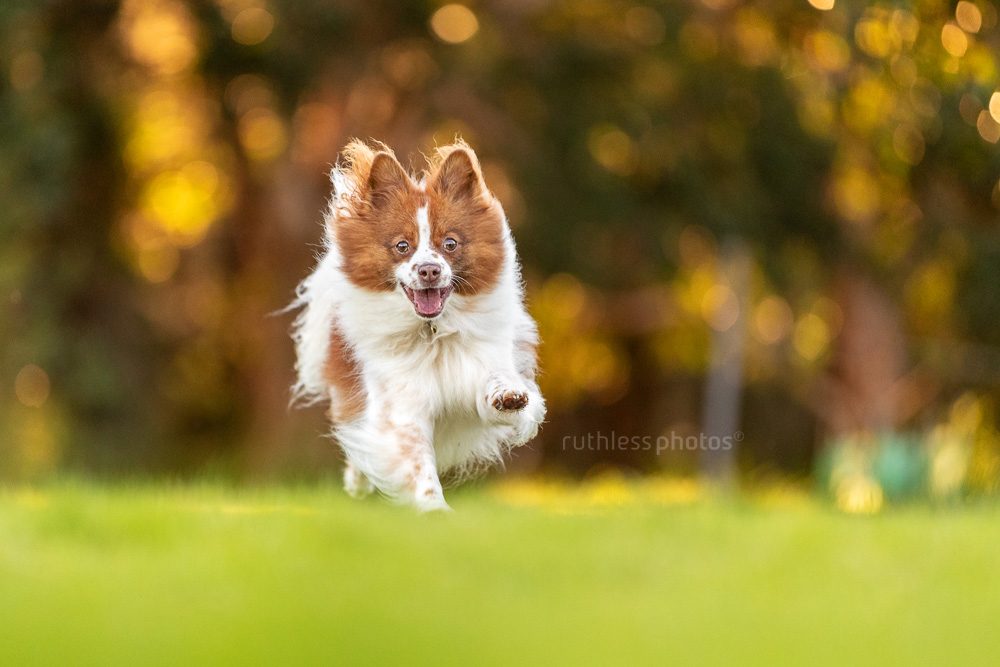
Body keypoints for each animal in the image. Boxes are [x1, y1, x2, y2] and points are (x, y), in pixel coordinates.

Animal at [290, 140, 548, 512]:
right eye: (402, 246)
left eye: (450, 244)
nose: (429, 270)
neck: (433, 333)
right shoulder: (400, 404)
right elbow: (415, 460)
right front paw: (434, 510)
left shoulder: (489, 361)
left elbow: (507, 391)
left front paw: (506, 396)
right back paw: (357, 482)